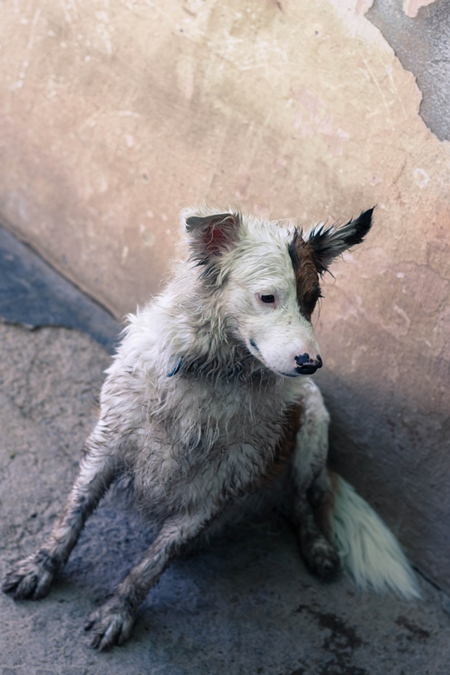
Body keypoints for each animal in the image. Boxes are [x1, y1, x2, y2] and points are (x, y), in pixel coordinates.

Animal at [2, 205, 418, 648]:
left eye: (312, 300)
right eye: (267, 297)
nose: (312, 364)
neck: (213, 373)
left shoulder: (213, 492)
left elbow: (152, 563)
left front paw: (118, 610)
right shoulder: (108, 446)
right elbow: (73, 515)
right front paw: (41, 566)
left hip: (311, 432)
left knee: (301, 501)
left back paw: (317, 547)